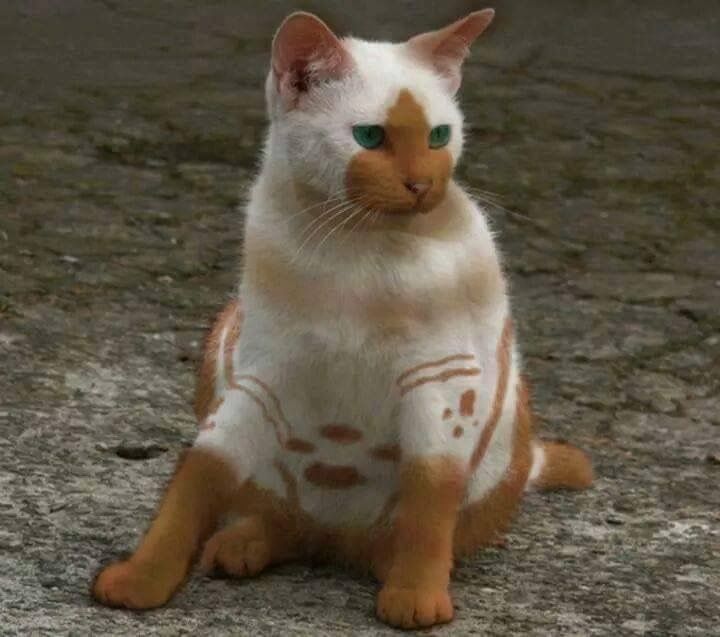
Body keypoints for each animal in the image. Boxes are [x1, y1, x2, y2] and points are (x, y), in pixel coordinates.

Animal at [93, 11, 592, 632]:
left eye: (439, 136)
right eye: (370, 137)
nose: (423, 186)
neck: (355, 251)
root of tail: (337, 541)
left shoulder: (442, 383)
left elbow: (430, 498)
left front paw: (417, 593)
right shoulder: (259, 378)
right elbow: (198, 478)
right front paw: (143, 579)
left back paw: (384, 562)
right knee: (285, 519)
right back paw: (246, 542)